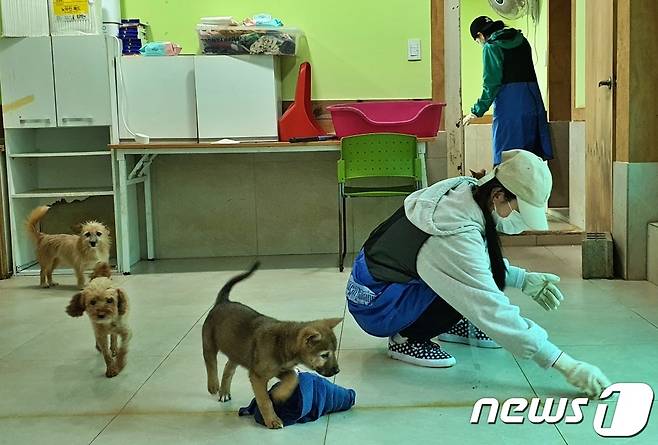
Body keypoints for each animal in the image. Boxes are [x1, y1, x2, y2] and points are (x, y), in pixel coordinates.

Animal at [201, 262, 344, 428]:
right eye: (324, 355)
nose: (337, 370)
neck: (282, 343)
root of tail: (223, 301)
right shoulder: (257, 377)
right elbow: (264, 401)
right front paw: (272, 420)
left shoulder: (282, 370)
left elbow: (293, 379)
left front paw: (279, 395)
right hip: (209, 342)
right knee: (210, 362)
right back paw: (213, 385)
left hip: (237, 351)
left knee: (228, 368)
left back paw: (224, 392)